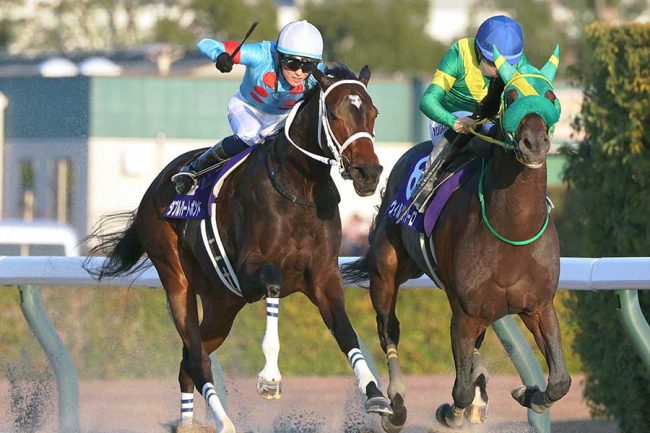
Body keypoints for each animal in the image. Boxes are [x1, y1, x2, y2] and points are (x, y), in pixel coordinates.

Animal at [85, 64, 393, 433]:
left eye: (373, 112)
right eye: (334, 114)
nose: (368, 173)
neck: (298, 188)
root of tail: (157, 183)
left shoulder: (322, 275)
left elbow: (346, 333)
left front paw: (376, 395)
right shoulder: (251, 269)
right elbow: (273, 285)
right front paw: (270, 378)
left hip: (223, 302)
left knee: (189, 359)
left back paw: (189, 423)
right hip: (176, 277)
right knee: (195, 355)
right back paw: (223, 421)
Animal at [342, 46, 571, 432]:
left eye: (551, 96)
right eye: (511, 96)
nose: (535, 144)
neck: (513, 230)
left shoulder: (537, 305)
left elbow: (559, 382)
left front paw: (527, 393)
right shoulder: (465, 311)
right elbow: (459, 390)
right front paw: (452, 411)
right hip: (387, 270)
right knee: (388, 328)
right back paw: (397, 402)